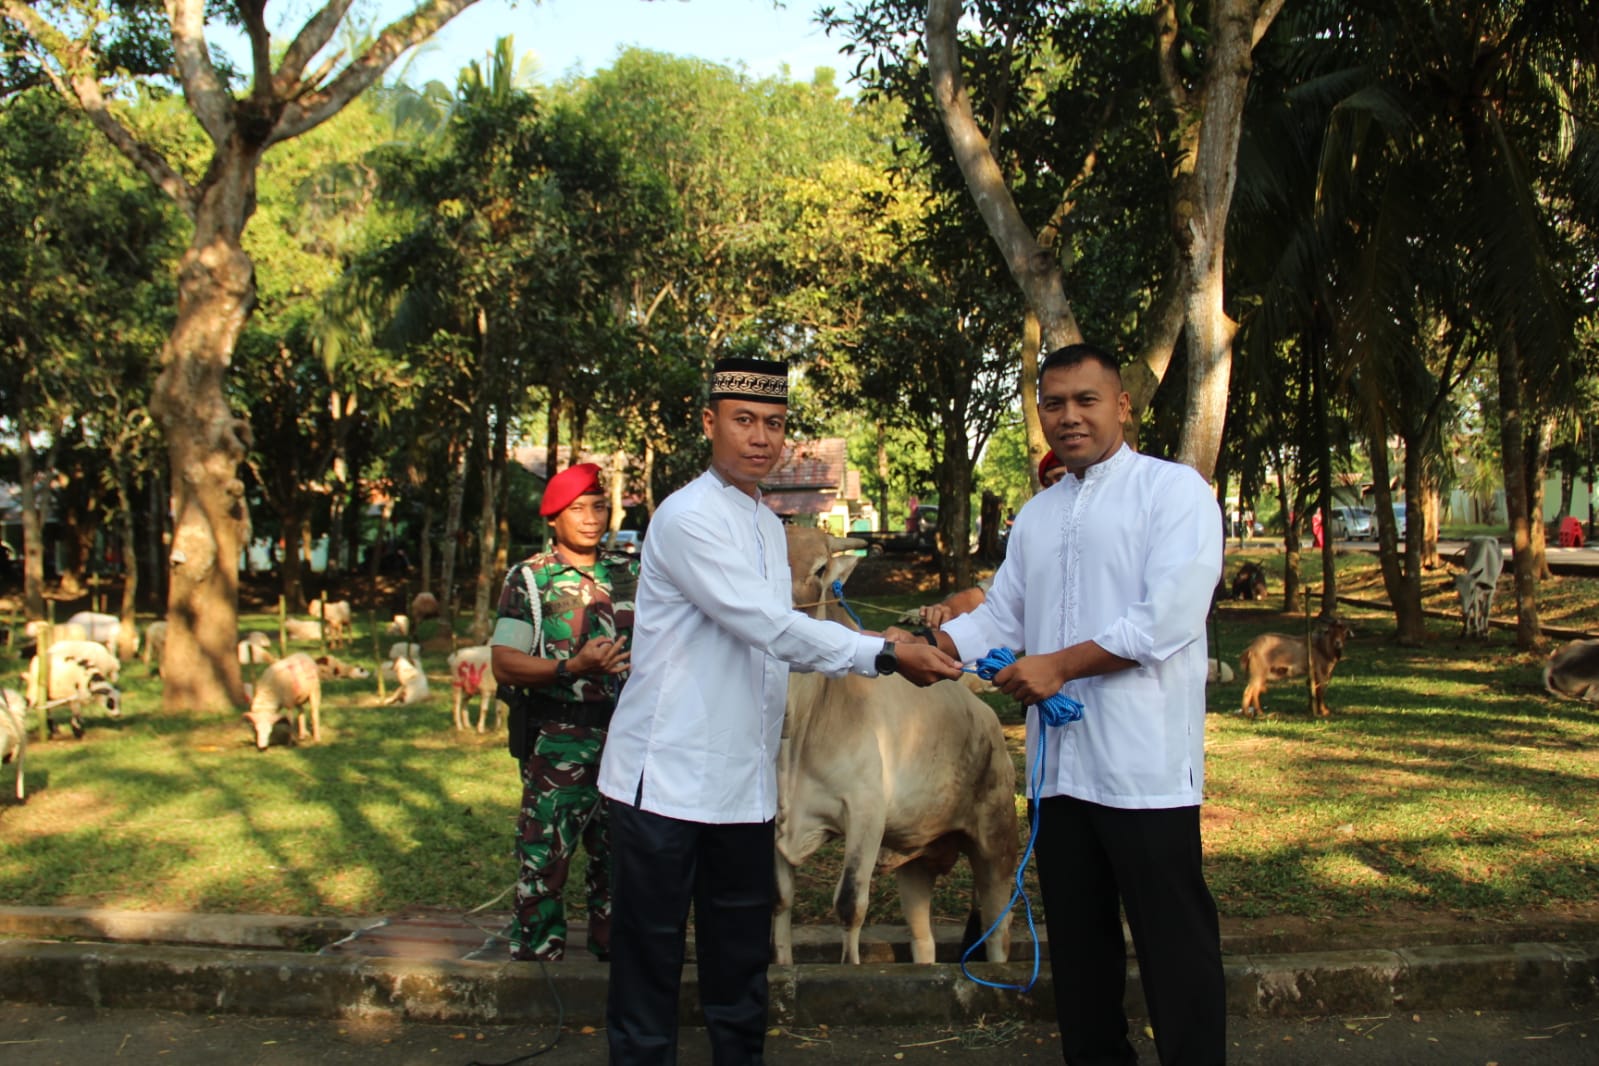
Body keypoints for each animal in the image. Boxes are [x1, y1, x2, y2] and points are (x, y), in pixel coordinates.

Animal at [770, 527, 1010, 965]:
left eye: (820, 568)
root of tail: (983, 713)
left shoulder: (865, 814)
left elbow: (850, 905)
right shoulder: (776, 820)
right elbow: (780, 901)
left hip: (997, 843)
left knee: (997, 931)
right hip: (915, 864)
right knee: (923, 940)